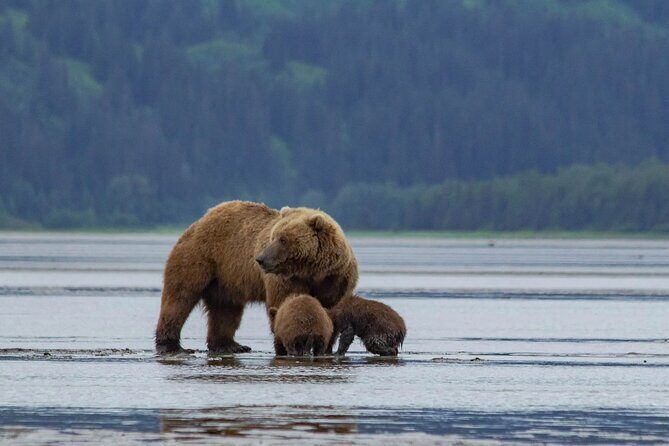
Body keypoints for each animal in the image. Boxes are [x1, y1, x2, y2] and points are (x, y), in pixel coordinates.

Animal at [154, 201, 358, 354]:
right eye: (273, 236)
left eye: (283, 239)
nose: (260, 259)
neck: (313, 271)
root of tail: (201, 219)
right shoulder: (287, 280)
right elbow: (284, 304)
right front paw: (284, 346)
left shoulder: (336, 280)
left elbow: (332, 311)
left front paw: (326, 346)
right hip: (198, 257)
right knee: (179, 298)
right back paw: (172, 345)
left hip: (225, 279)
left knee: (225, 310)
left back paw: (230, 345)